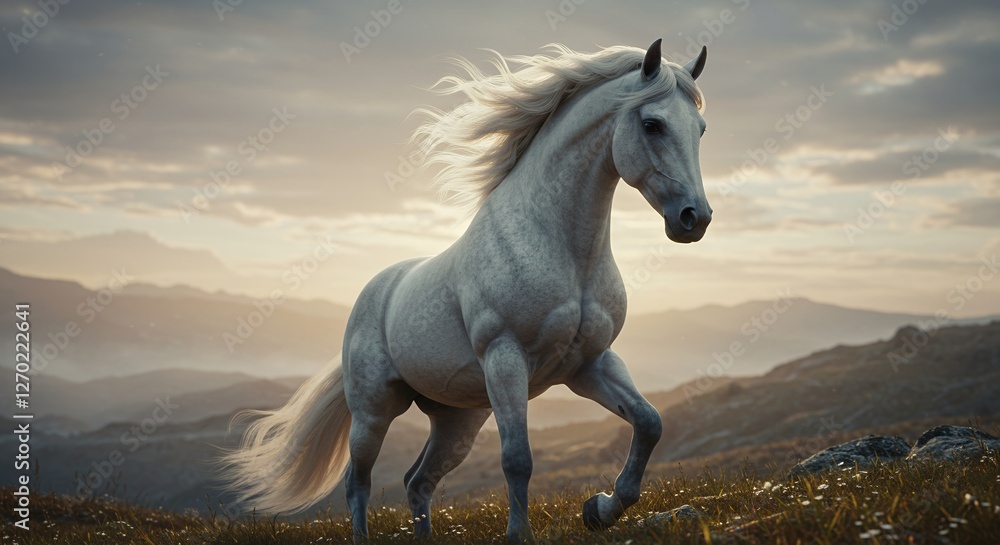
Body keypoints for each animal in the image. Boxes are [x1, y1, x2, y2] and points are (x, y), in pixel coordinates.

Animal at [220, 38, 711, 543]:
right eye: (652, 124)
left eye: (701, 129)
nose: (694, 218)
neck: (567, 254)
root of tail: (373, 293)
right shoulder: (505, 358)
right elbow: (517, 459)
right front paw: (522, 533)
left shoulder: (589, 365)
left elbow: (649, 423)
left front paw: (600, 508)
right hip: (374, 412)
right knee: (358, 483)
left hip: (457, 420)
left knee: (417, 481)